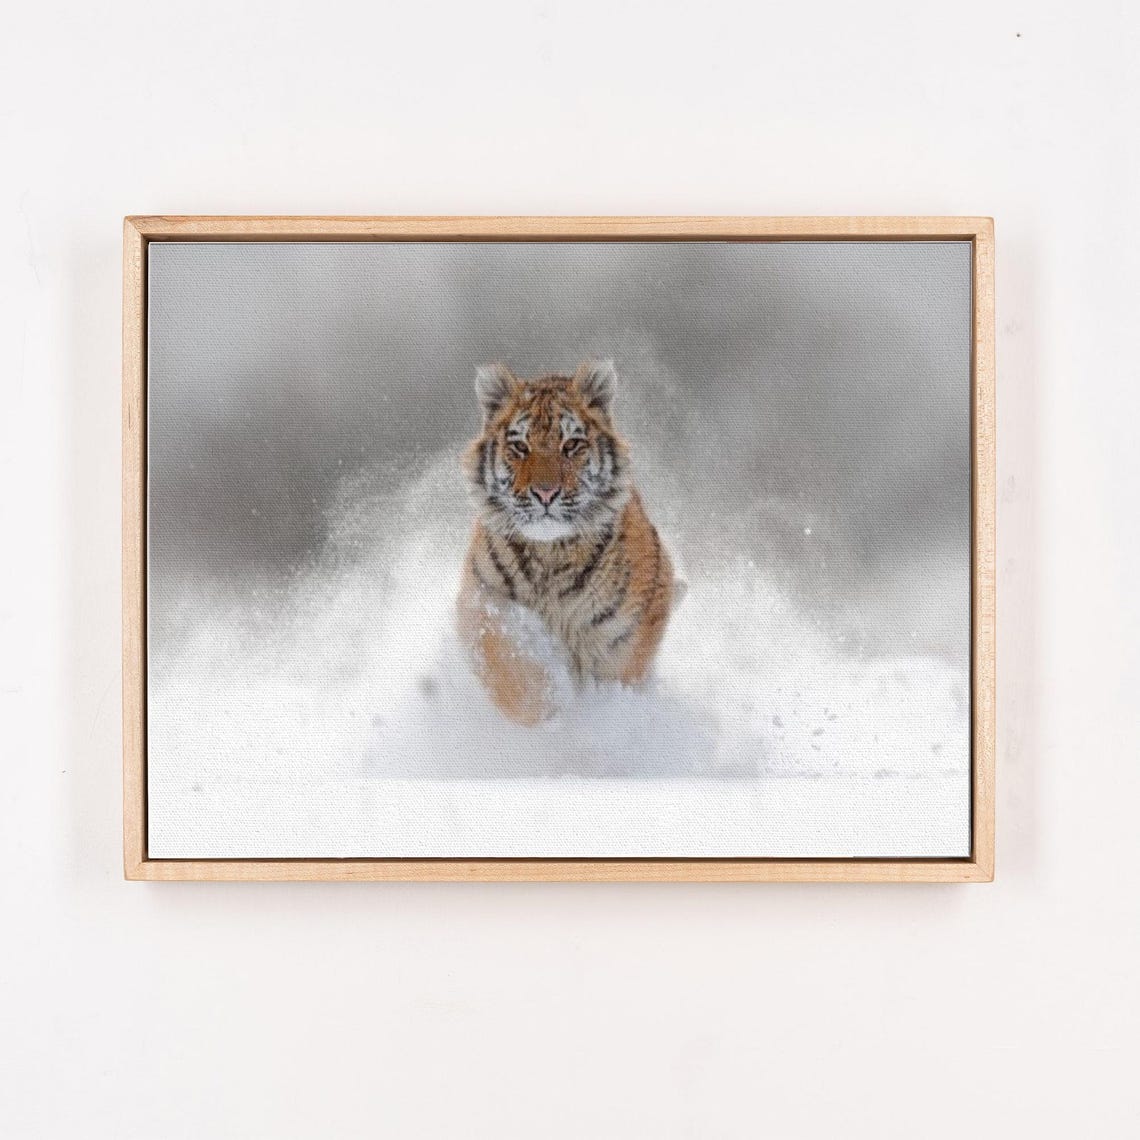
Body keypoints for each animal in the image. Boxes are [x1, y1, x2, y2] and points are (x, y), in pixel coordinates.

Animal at [457, 359, 675, 725]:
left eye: (571, 445)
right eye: (520, 447)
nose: (545, 493)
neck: (550, 554)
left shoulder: (628, 628)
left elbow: (617, 673)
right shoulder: (484, 602)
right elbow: (512, 669)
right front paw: (549, 714)